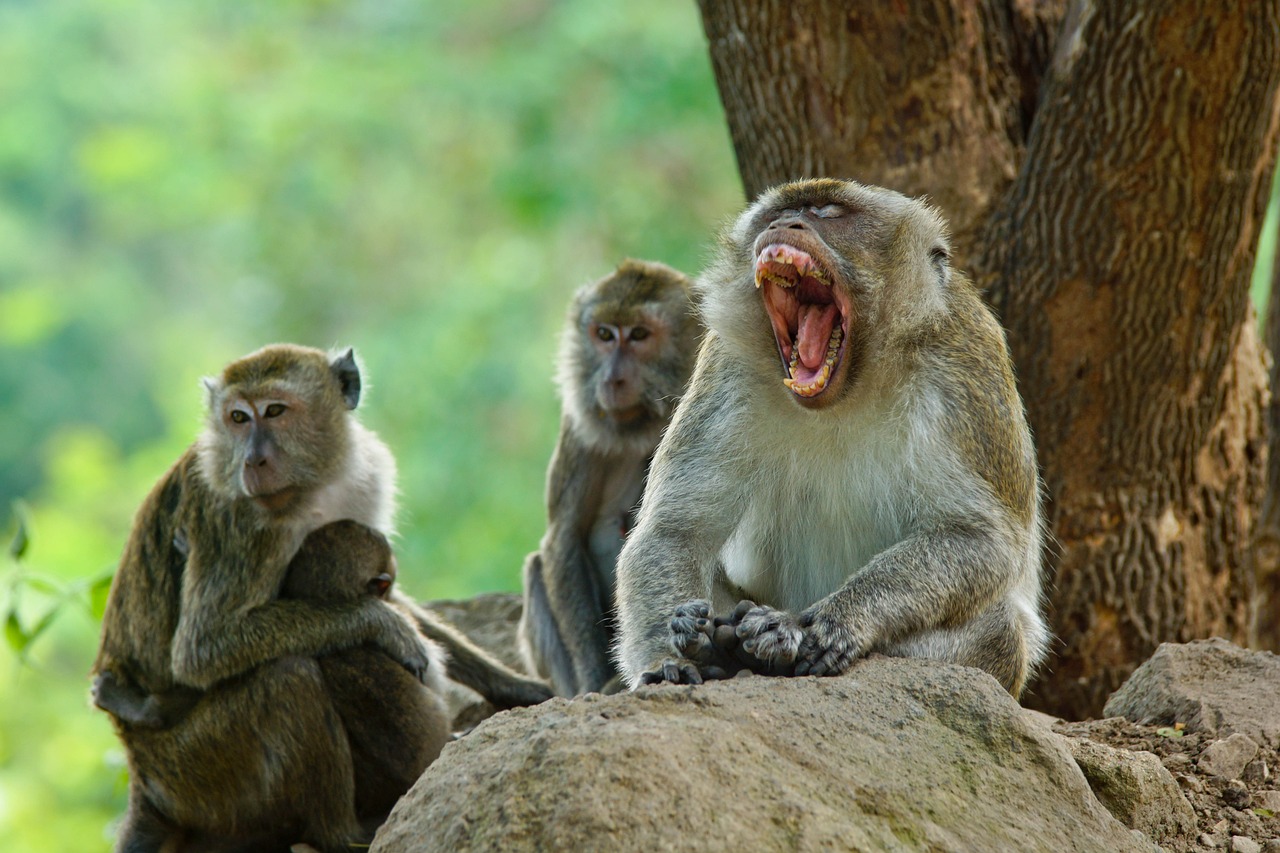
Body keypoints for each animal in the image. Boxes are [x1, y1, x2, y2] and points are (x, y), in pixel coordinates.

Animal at [90, 343, 550, 850]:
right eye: (238, 418)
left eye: (274, 411)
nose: (252, 462)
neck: (311, 487)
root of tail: (140, 774)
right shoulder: (238, 519)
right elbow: (201, 649)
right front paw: (382, 624)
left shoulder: (365, 481)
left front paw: (514, 685)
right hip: (197, 768)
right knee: (289, 678)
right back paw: (343, 832)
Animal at [517, 257, 701, 691]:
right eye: (603, 334)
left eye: (639, 335)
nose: (611, 379)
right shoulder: (578, 428)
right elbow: (564, 537)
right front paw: (594, 680)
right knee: (536, 569)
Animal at [611, 179, 1049, 696]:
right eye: (780, 212)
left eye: (827, 211)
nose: (787, 224)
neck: (851, 387)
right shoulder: (727, 366)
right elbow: (674, 532)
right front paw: (668, 660)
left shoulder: (964, 363)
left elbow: (979, 539)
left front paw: (831, 624)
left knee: (999, 628)